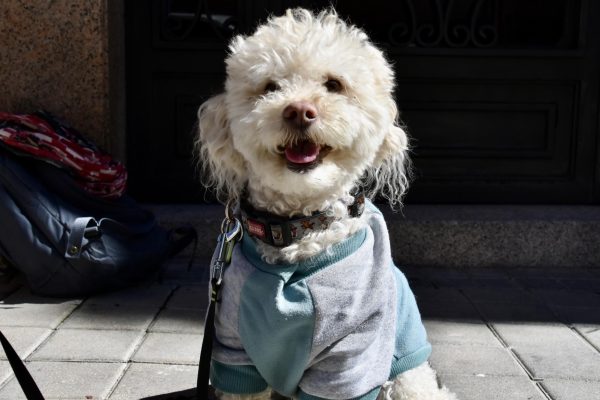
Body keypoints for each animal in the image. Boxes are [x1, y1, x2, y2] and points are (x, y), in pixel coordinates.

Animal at [197, 7, 454, 400]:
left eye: (333, 85)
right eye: (270, 87)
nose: (299, 111)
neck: (298, 228)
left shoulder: (351, 356)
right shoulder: (233, 347)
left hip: (405, 378)